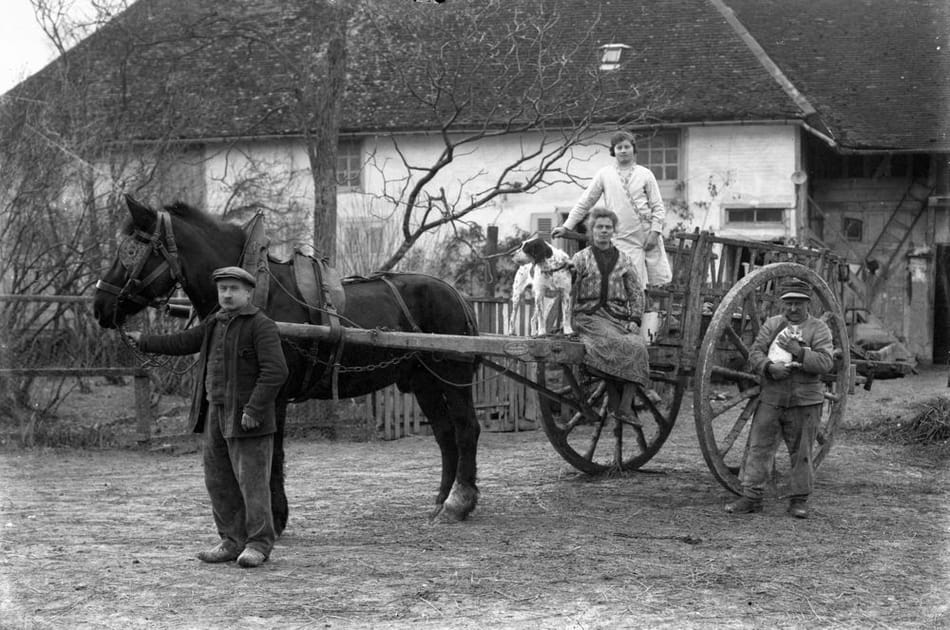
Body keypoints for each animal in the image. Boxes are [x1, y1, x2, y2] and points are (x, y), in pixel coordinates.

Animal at [93, 195, 484, 532]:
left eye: (131, 250)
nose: (99, 306)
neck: (258, 294)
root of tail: (457, 294)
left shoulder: (272, 394)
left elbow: (272, 453)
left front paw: (275, 518)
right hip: (423, 382)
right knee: (445, 434)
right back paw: (441, 500)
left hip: (453, 378)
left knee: (466, 430)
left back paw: (458, 503)